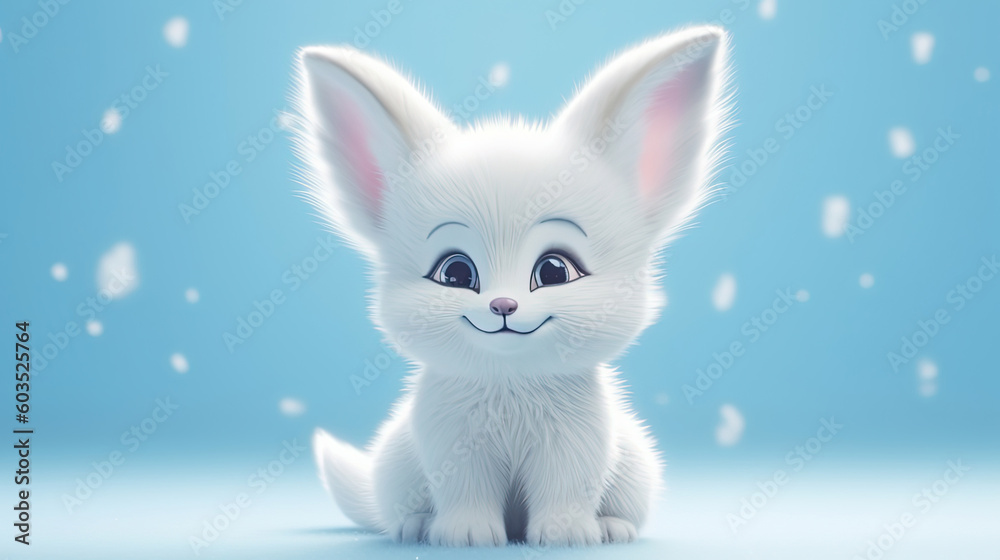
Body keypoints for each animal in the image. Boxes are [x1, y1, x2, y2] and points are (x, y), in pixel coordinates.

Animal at [293, 26, 733, 547]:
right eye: (455, 273)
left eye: (556, 271)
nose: (503, 304)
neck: (510, 385)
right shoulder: (453, 446)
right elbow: (464, 492)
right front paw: (465, 534)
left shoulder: (574, 445)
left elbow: (568, 487)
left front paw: (567, 534)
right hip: (397, 467)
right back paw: (416, 526)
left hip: (635, 469)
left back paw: (612, 527)